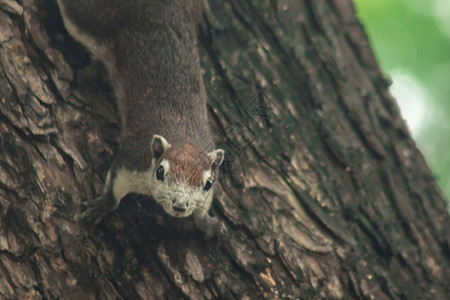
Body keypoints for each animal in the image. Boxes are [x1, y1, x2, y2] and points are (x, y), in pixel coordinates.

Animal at [56, 0, 225, 225]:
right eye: (160, 172)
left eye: (208, 183)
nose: (180, 206)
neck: (185, 139)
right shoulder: (132, 158)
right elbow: (115, 184)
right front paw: (102, 206)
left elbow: (203, 208)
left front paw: (207, 223)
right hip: (87, 18)